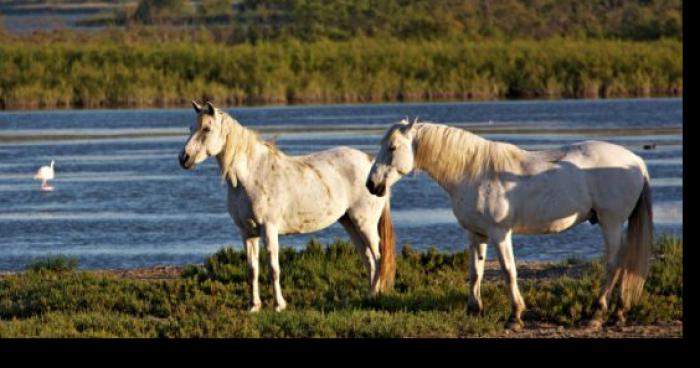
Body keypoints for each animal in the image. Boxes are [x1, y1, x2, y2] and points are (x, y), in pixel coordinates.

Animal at [178, 100, 396, 310]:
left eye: (207, 128)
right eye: (190, 128)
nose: (184, 159)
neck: (251, 176)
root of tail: (372, 168)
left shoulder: (269, 229)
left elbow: (273, 268)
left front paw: (279, 305)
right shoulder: (247, 233)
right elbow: (252, 270)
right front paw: (254, 306)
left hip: (365, 223)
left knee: (378, 256)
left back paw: (375, 295)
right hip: (349, 222)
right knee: (368, 258)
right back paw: (369, 295)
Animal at [366, 120, 652, 330]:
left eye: (392, 147)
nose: (372, 185)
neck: (475, 171)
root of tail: (636, 163)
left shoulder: (500, 233)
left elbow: (508, 271)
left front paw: (515, 316)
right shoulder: (476, 234)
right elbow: (476, 272)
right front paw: (474, 310)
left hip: (611, 222)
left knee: (613, 263)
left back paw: (596, 315)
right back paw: (618, 313)